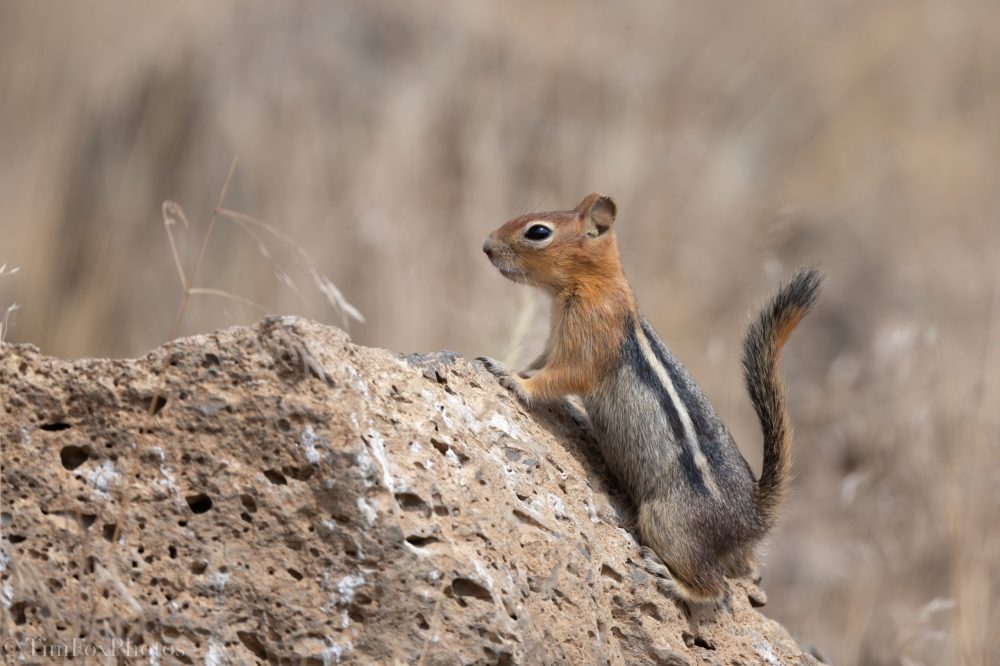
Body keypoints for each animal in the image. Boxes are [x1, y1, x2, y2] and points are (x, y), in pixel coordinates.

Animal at [478, 192, 821, 603]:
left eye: (538, 232)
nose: (487, 246)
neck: (596, 282)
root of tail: (753, 517)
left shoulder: (588, 343)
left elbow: (561, 376)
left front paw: (509, 375)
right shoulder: (555, 340)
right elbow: (540, 363)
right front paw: (514, 366)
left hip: (665, 523)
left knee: (718, 590)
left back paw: (670, 580)